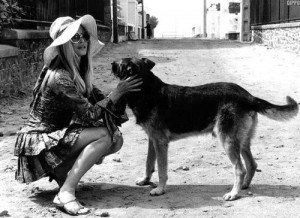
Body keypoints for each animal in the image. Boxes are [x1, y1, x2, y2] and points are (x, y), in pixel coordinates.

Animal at [111, 57, 298, 201]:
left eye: (120, 64)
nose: (111, 63)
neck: (146, 89)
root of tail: (248, 96)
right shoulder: (153, 140)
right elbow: (149, 163)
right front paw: (145, 180)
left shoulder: (161, 142)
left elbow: (162, 169)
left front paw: (160, 189)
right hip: (242, 140)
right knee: (251, 164)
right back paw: (244, 186)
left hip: (227, 140)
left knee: (240, 169)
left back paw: (234, 193)